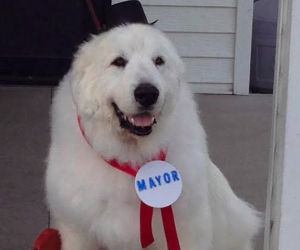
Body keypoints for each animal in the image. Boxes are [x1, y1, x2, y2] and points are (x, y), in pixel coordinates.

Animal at [45, 23, 262, 250]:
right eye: (119, 61)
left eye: (158, 61)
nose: (148, 93)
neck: (131, 156)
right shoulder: (78, 232)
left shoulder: (188, 230)